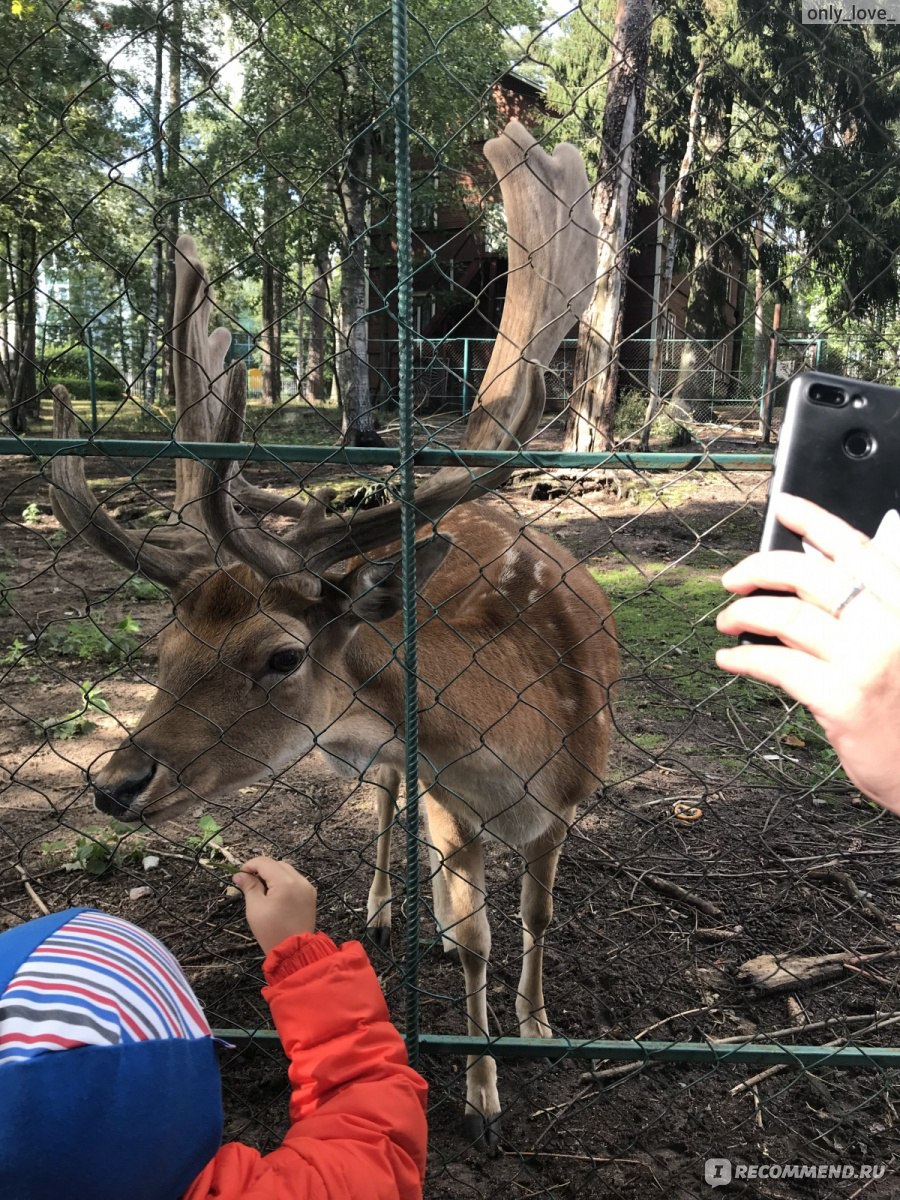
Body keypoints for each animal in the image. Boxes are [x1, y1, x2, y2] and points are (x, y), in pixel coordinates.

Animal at [47, 119, 619, 1142]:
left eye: (279, 655)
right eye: (163, 648)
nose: (113, 784)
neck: (522, 747)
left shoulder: (566, 804)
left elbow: (539, 917)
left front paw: (538, 1022)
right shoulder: (453, 797)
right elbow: (474, 933)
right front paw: (482, 1095)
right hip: (405, 772)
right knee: (388, 805)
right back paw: (394, 907)